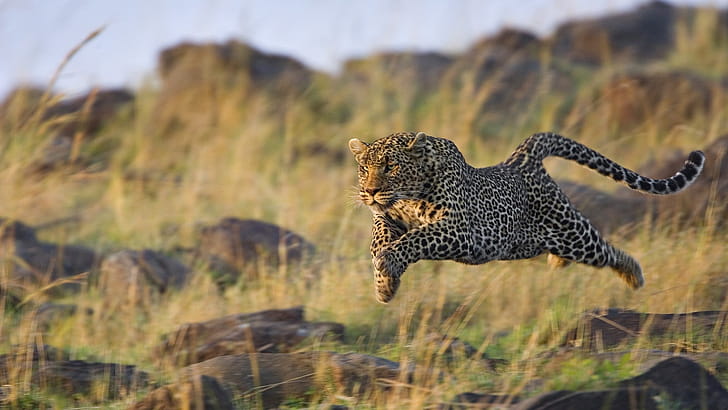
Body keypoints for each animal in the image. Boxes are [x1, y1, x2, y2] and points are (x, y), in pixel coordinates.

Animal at [348, 131, 706, 304]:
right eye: (364, 167)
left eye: (391, 166)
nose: (370, 191)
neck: (408, 196)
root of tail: (522, 158)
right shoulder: (389, 218)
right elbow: (380, 235)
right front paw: (385, 282)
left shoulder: (460, 230)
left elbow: (417, 238)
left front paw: (389, 263)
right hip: (528, 243)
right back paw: (558, 263)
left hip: (573, 233)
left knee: (606, 250)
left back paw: (633, 274)